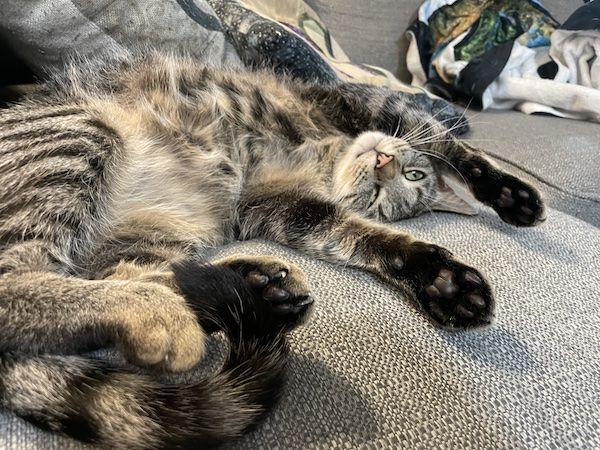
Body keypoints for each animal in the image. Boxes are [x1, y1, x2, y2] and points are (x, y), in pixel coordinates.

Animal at [0, 52, 544, 450]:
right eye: (409, 174)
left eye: (395, 187)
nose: (383, 160)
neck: (330, 152)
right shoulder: (357, 102)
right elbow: (451, 145)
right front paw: (512, 196)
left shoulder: (279, 203)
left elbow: (364, 237)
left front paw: (440, 281)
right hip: (80, 136)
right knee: (21, 281)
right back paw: (184, 308)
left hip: (154, 229)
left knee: (109, 276)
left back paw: (253, 287)